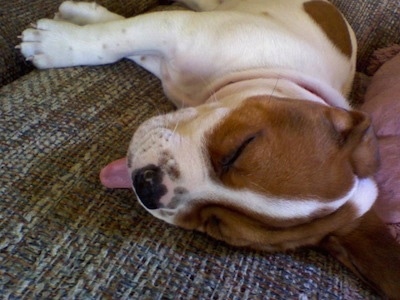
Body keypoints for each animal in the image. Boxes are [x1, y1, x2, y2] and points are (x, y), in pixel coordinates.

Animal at [18, 0, 400, 298]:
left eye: (217, 227)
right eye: (241, 148)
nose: (148, 187)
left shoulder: (173, 56)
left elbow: (127, 42)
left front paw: (65, 33)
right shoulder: (181, 29)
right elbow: (116, 38)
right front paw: (56, 42)